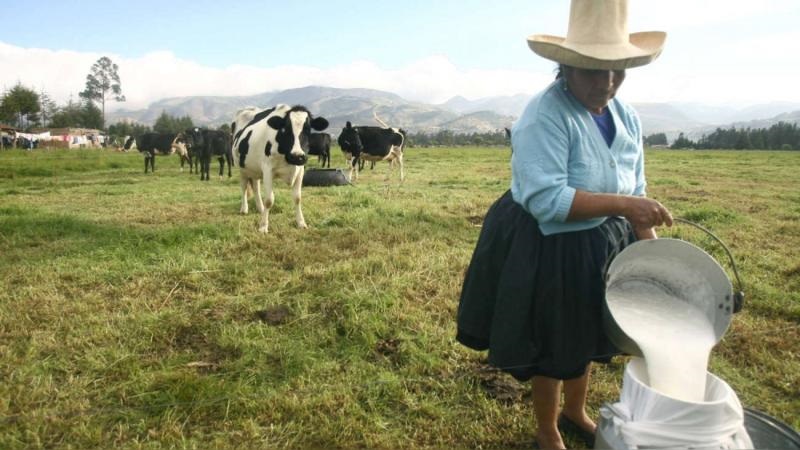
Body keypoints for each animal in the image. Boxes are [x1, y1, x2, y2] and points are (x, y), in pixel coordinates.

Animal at [231, 104, 328, 234]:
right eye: (286, 129)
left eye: (308, 129)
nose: (297, 156)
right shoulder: (267, 169)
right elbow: (269, 200)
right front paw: (263, 226)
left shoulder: (300, 169)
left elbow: (297, 198)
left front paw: (301, 223)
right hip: (241, 168)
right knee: (244, 187)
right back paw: (244, 209)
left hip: (255, 168)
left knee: (256, 186)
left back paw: (260, 208)